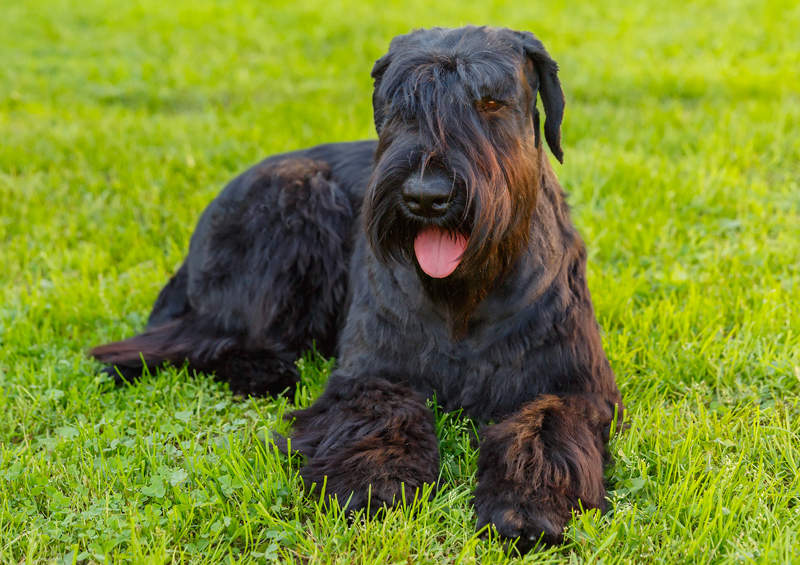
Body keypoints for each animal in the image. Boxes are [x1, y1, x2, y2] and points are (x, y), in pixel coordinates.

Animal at [90, 27, 620, 552]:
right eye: (400, 104)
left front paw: (526, 505)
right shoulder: (373, 371)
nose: (426, 197)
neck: (463, 300)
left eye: (489, 101)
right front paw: (370, 484)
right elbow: (379, 413)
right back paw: (263, 370)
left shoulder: (572, 385)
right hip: (294, 206)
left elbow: (544, 429)